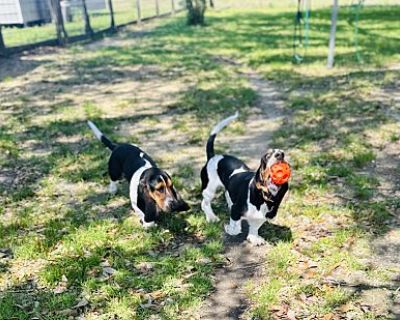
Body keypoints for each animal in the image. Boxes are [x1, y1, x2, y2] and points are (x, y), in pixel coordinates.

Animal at [202, 112, 290, 245]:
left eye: (283, 154)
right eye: (267, 156)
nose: (280, 154)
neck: (264, 197)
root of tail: (213, 157)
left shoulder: (261, 216)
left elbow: (254, 227)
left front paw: (254, 237)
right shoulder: (236, 211)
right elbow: (235, 227)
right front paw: (230, 228)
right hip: (209, 189)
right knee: (205, 203)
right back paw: (211, 217)